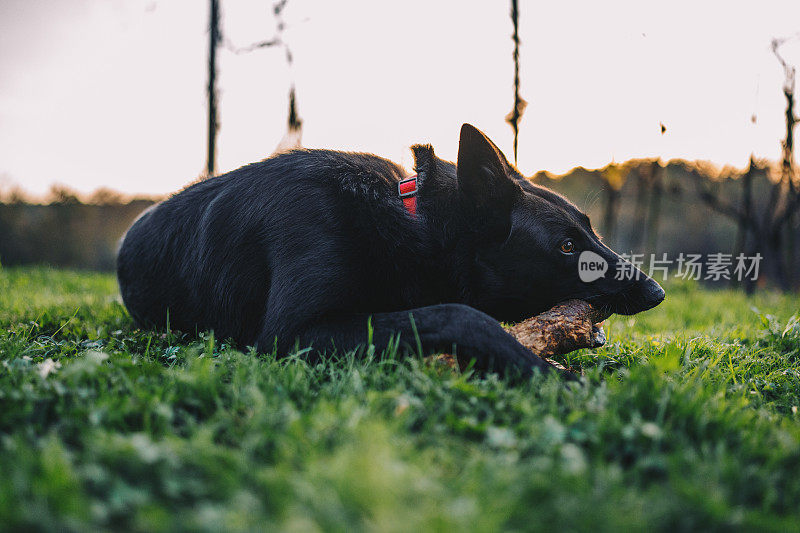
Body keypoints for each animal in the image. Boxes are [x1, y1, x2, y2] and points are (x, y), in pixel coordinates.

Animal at [117, 123, 664, 378]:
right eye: (568, 247)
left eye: (591, 231)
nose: (657, 292)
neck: (411, 224)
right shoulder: (293, 334)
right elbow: (458, 314)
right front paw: (548, 374)